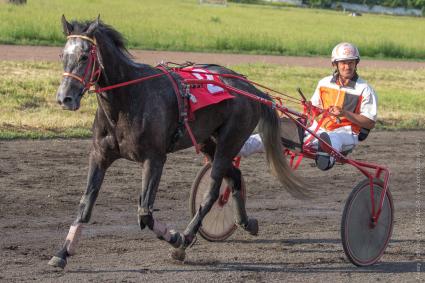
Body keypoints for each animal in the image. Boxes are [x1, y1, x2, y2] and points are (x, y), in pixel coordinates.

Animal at [48, 16, 308, 270]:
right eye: (62, 55)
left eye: (84, 56)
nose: (64, 98)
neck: (128, 99)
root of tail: (252, 89)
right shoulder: (100, 155)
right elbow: (85, 205)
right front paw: (62, 253)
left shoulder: (154, 158)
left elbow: (145, 213)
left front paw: (175, 237)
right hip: (209, 141)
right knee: (234, 176)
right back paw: (246, 222)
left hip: (231, 138)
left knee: (212, 191)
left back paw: (187, 237)